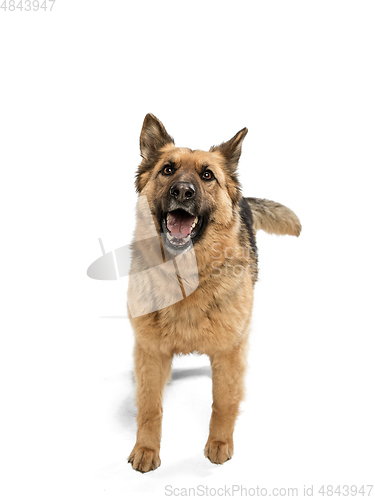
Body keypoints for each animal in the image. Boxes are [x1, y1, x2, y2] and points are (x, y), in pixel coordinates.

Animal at [128, 113, 302, 472]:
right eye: (167, 169)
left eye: (207, 175)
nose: (182, 190)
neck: (184, 279)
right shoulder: (150, 352)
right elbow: (150, 407)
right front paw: (147, 449)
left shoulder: (229, 353)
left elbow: (223, 402)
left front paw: (219, 444)